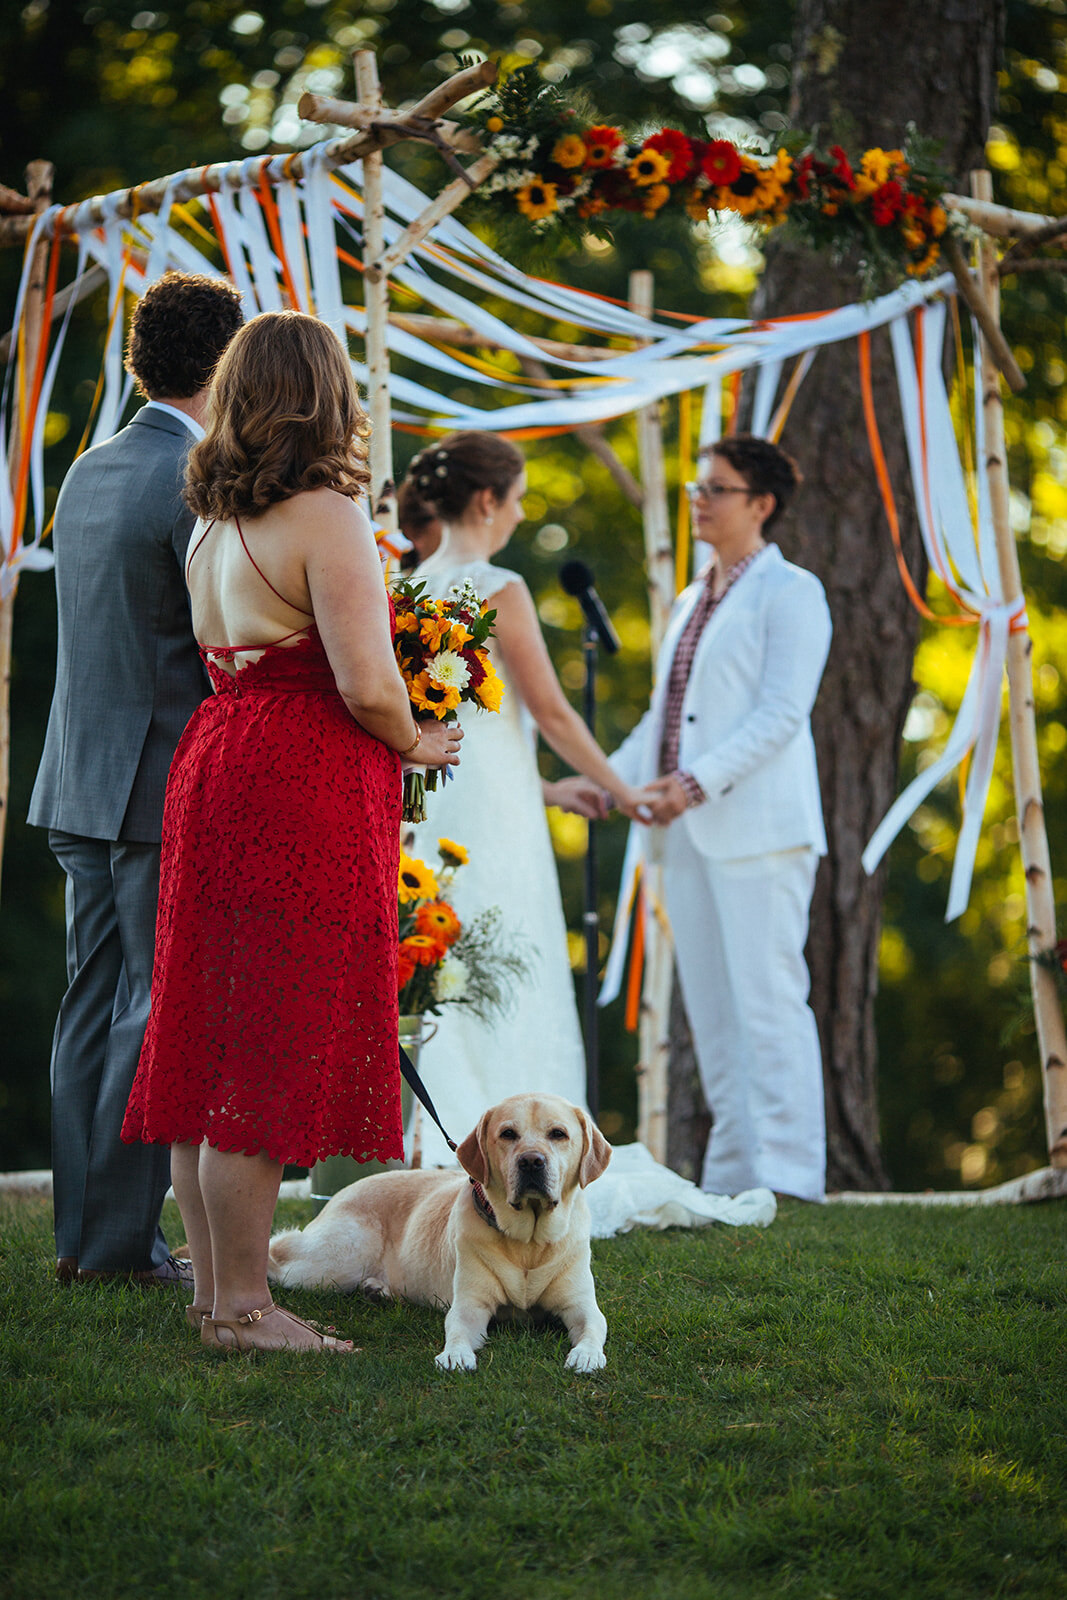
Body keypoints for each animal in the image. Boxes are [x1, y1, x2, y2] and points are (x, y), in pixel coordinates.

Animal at [268, 1094, 607, 1369]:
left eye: (558, 1134)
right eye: (508, 1134)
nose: (532, 1161)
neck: (528, 1243)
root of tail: (343, 1191)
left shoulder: (581, 1305)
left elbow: (594, 1326)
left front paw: (586, 1355)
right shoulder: (470, 1305)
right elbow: (457, 1329)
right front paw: (455, 1355)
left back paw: (377, 1291)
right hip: (331, 1264)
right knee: (277, 1254)